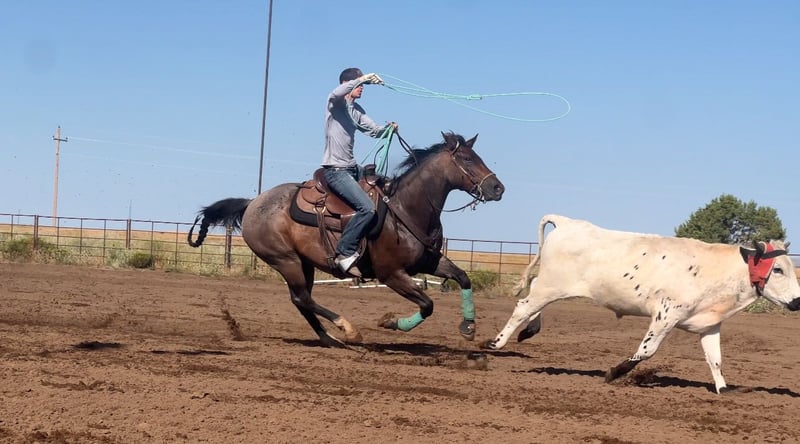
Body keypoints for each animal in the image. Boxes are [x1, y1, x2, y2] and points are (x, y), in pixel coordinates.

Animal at [187, 132, 504, 347]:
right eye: (467, 159)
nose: (497, 187)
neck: (404, 209)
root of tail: (252, 203)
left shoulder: (428, 261)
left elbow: (463, 277)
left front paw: (468, 326)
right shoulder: (391, 274)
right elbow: (427, 304)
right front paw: (390, 322)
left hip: (304, 263)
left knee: (301, 300)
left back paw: (329, 339)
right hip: (286, 260)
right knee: (302, 297)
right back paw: (347, 330)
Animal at [482, 214, 800, 393]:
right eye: (778, 269)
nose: (797, 301)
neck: (714, 270)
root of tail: (567, 223)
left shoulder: (709, 324)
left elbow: (715, 359)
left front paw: (724, 389)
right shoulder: (666, 314)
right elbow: (647, 350)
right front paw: (614, 372)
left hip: (551, 286)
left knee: (533, 300)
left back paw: (528, 330)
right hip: (552, 285)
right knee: (524, 305)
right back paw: (494, 343)